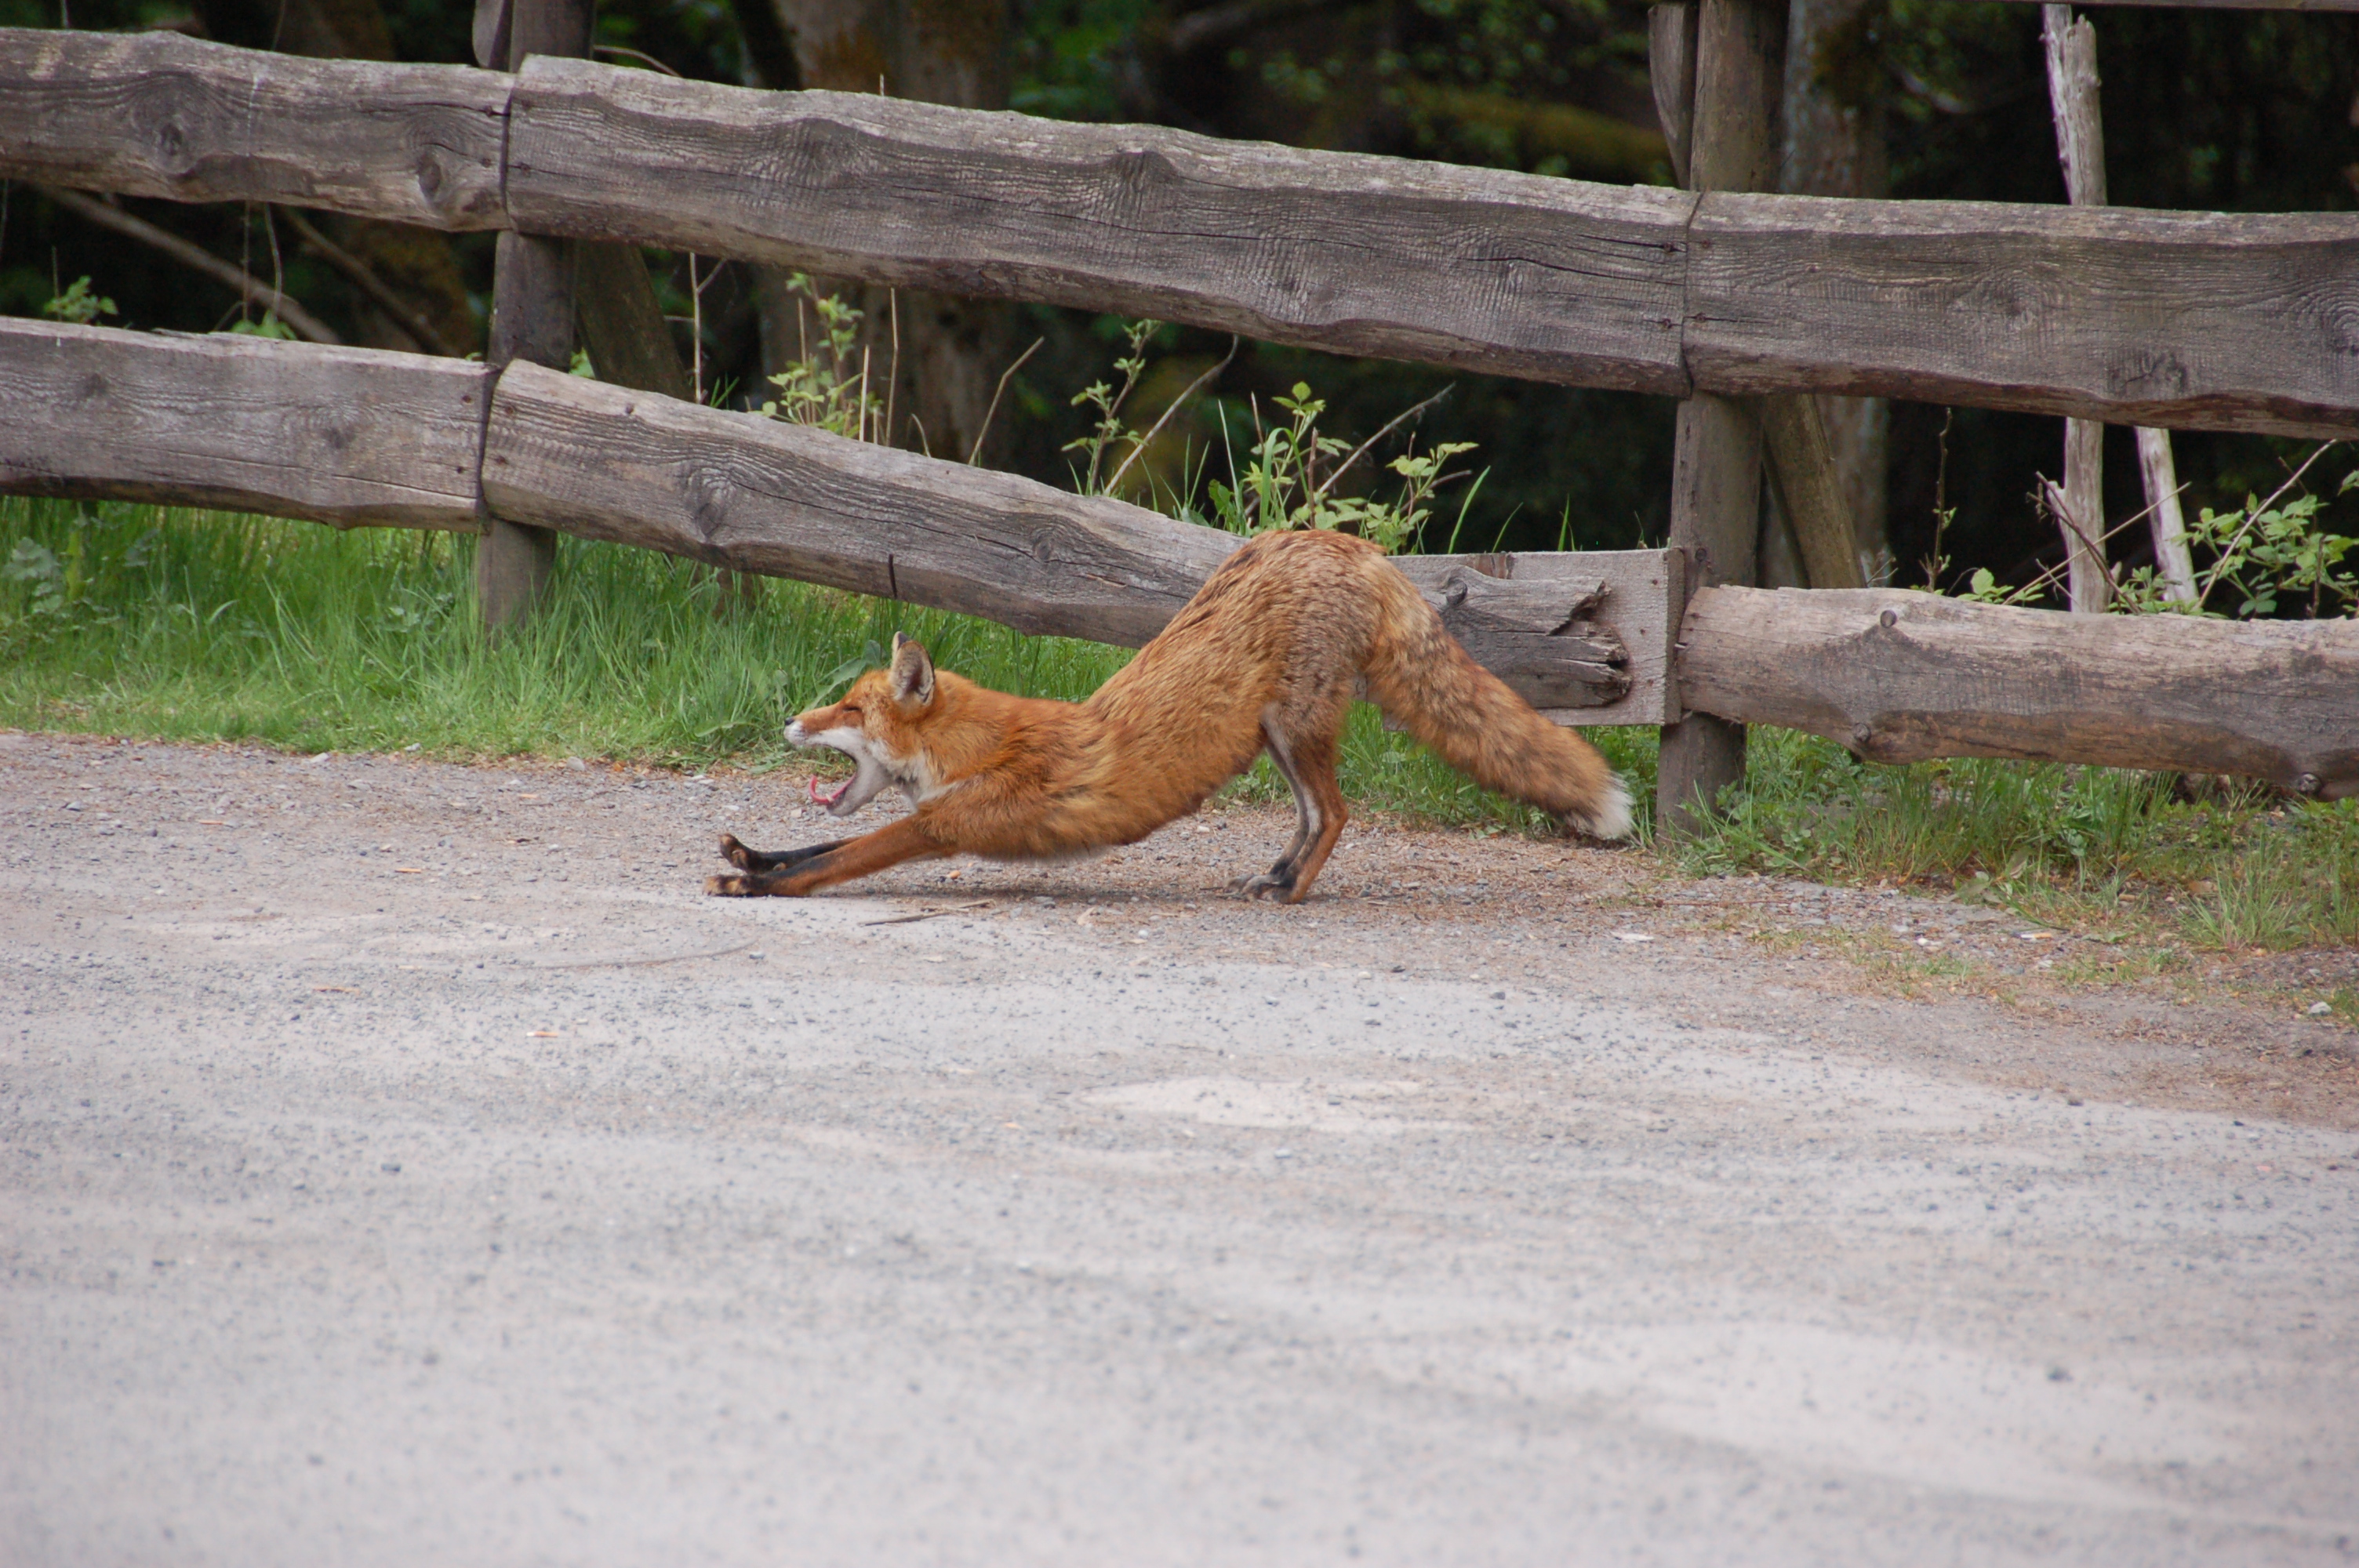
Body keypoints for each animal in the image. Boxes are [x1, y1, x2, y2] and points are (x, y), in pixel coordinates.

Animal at [707, 528, 1631, 904]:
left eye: (848, 706)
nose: (788, 722)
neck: (976, 749)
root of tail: (1341, 541)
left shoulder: (941, 825)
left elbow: (832, 861)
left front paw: (754, 882)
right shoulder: (936, 816)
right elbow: (812, 846)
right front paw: (750, 854)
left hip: (1298, 728)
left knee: (1337, 813)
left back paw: (1290, 892)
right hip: (1276, 738)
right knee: (1311, 816)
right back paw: (1277, 874)